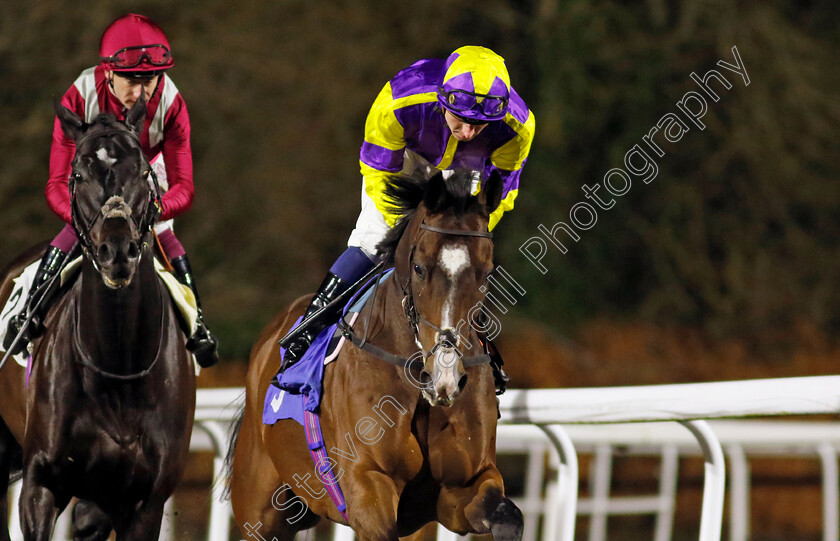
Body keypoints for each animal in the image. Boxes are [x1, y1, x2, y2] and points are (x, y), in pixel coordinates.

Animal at [0, 99, 195, 536]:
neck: (116, 362)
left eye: (143, 171)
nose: (116, 250)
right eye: (78, 173)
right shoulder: (40, 484)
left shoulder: (141, 502)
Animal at [226, 171, 520, 536]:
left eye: (487, 272)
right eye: (419, 268)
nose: (445, 377)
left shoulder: (464, 486)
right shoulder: (367, 488)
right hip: (259, 509)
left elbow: (508, 517)